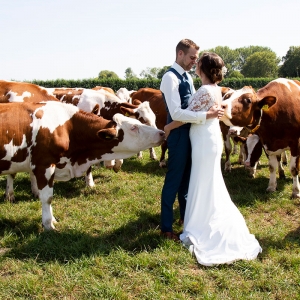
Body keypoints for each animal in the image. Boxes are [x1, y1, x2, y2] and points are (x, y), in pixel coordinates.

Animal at [0, 101, 164, 230]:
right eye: (133, 127)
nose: (162, 133)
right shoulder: (44, 165)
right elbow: (47, 198)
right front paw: (48, 225)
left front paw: (52, 220)